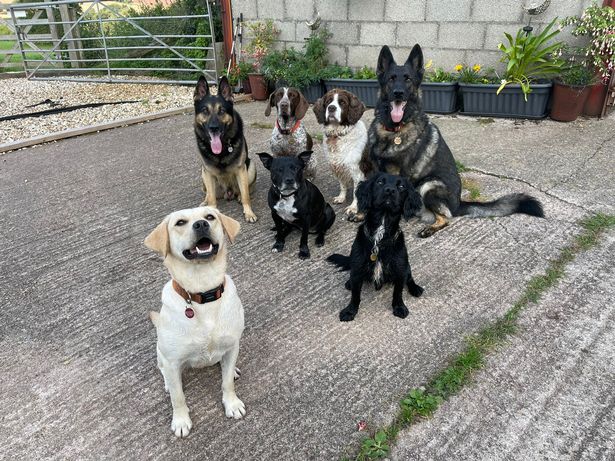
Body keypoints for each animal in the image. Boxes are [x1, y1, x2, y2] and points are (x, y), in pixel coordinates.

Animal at [330, 172, 426, 320]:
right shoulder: (357, 268)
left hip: (406, 265)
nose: (390, 190)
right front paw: (350, 311)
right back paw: (349, 283)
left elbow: (398, 293)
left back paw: (415, 288)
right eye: (380, 182)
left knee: (409, 276)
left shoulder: (400, 270)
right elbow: (355, 296)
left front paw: (399, 307)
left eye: (401, 186)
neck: (379, 239)